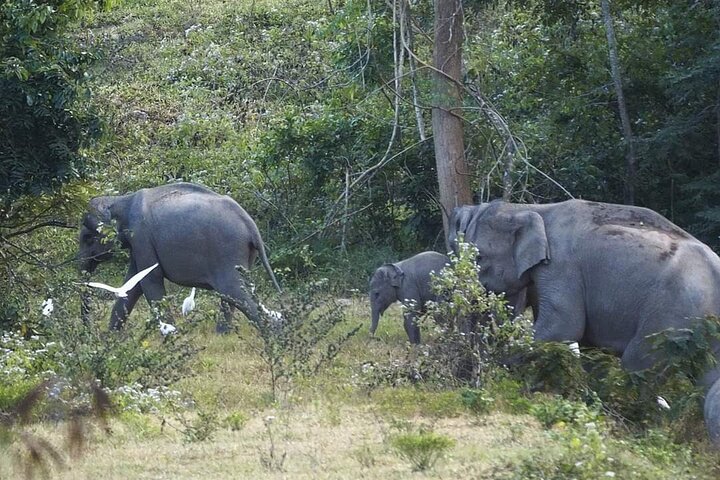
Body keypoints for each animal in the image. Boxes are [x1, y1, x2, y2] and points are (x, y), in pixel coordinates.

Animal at [78, 182, 281, 332]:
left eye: (88, 238)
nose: (90, 331)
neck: (121, 200)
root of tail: (251, 225)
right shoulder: (140, 244)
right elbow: (133, 283)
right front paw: (111, 338)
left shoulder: (141, 237)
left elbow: (149, 280)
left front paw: (171, 334)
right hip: (244, 254)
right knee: (233, 295)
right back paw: (224, 334)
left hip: (227, 251)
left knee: (234, 291)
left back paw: (273, 336)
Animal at [459, 199, 720, 444]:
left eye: (479, 256)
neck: (532, 209)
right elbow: (588, 347)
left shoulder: (561, 266)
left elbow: (563, 325)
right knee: (707, 380)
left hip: (670, 317)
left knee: (637, 364)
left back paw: (633, 425)